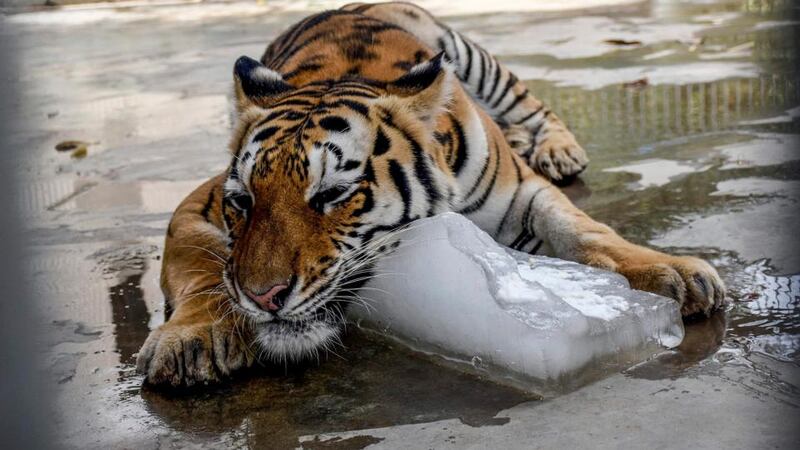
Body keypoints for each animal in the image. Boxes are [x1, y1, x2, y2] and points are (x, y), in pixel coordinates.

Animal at [136, 2, 725, 387]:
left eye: (332, 194)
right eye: (243, 202)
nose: (263, 298)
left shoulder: (523, 196)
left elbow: (584, 228)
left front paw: (672, 272)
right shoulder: (196, 204)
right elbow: (202, 266)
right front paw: (190, 338)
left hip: (477, 58)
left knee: (535, 105)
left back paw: (558, 148)